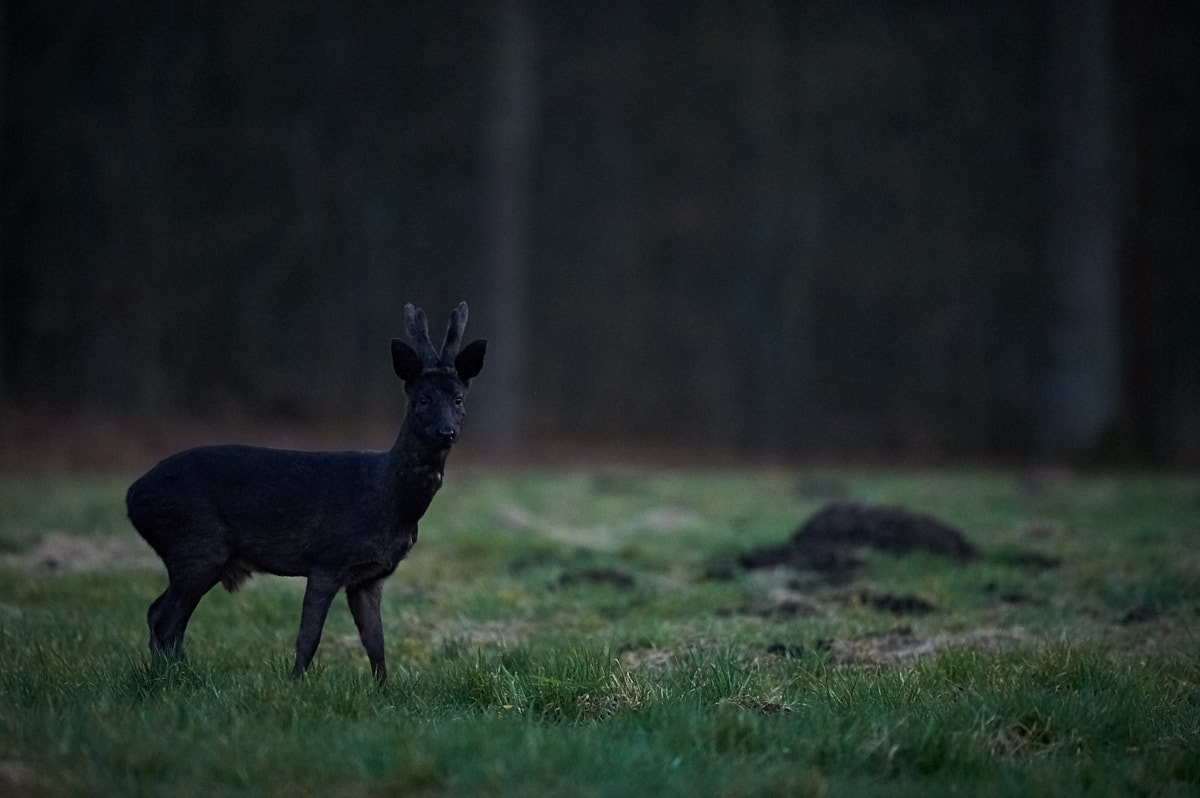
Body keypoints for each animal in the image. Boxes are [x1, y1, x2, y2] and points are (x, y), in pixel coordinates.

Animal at [127, 300, 487, 676]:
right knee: (166, 618)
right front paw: (294, 682)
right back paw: (174, 675)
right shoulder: (326, 558)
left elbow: (376, 643)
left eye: (459, 399)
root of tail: (131, 496)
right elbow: (309, 637)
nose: (446, 432)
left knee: (159, 614)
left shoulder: (369, 576)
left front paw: (384, 686)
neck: (389, 500)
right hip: (195, 543)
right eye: (422, 400)